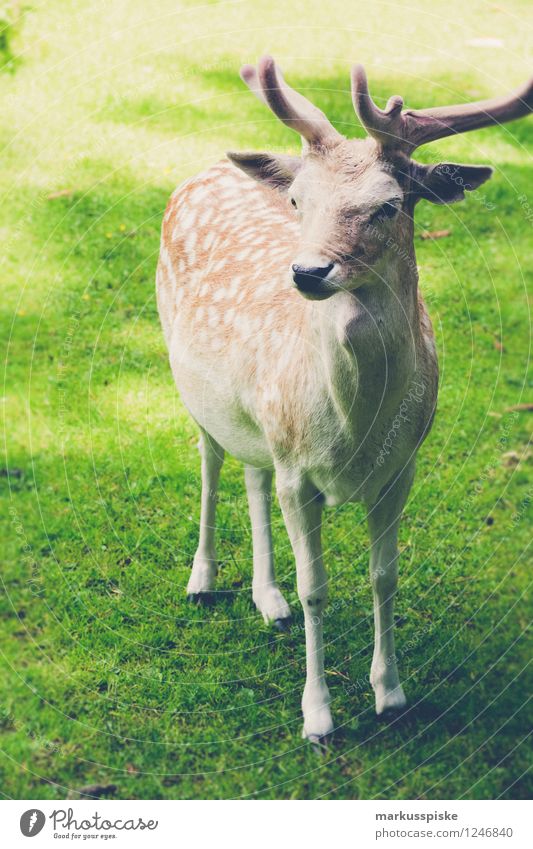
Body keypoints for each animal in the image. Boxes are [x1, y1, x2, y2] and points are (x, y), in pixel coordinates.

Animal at [156, 58, 528, 744]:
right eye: (298, 201)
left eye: (389, 205)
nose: (307, 272)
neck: (354, 428)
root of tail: (209, 168)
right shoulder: (299, 473)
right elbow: (317, 588)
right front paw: (319, 716)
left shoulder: (403, 467)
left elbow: (386, 575)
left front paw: (391, 693)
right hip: (187, 377)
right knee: (211, 461)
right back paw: (203, 579)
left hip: (257, 416)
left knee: (251, 472)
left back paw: (266, 598)